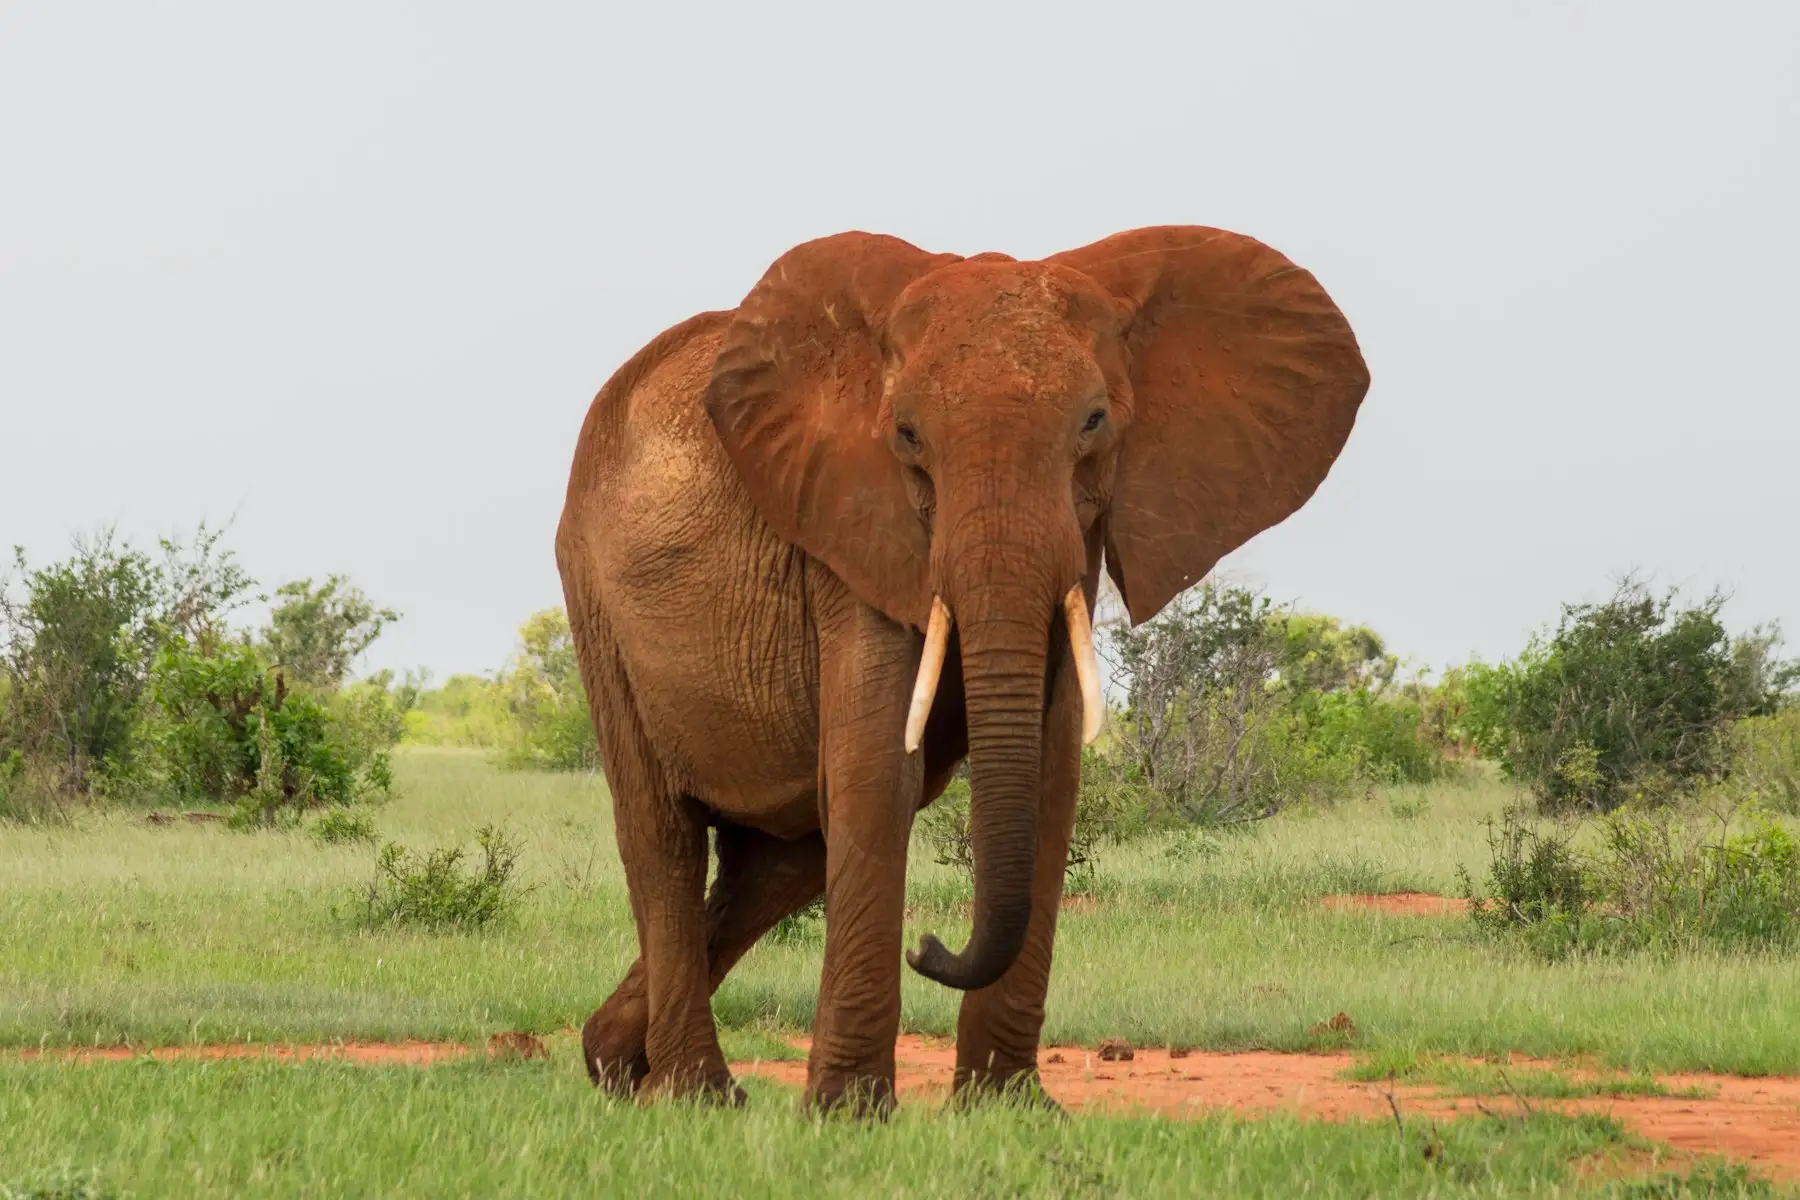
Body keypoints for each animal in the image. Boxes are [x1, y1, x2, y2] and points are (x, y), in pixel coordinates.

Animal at [555, 225, 1369, 1112]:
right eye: (908, 435)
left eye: (1094, 422)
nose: (929, 946)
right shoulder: (850, 529)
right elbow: (880, 770)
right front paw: (848, 1115)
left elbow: (1049, 773)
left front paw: (1008, 1109)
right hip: (594, 597)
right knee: (663, 836)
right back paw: (694, 1096)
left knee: (780, 864)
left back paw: (614, 1063)